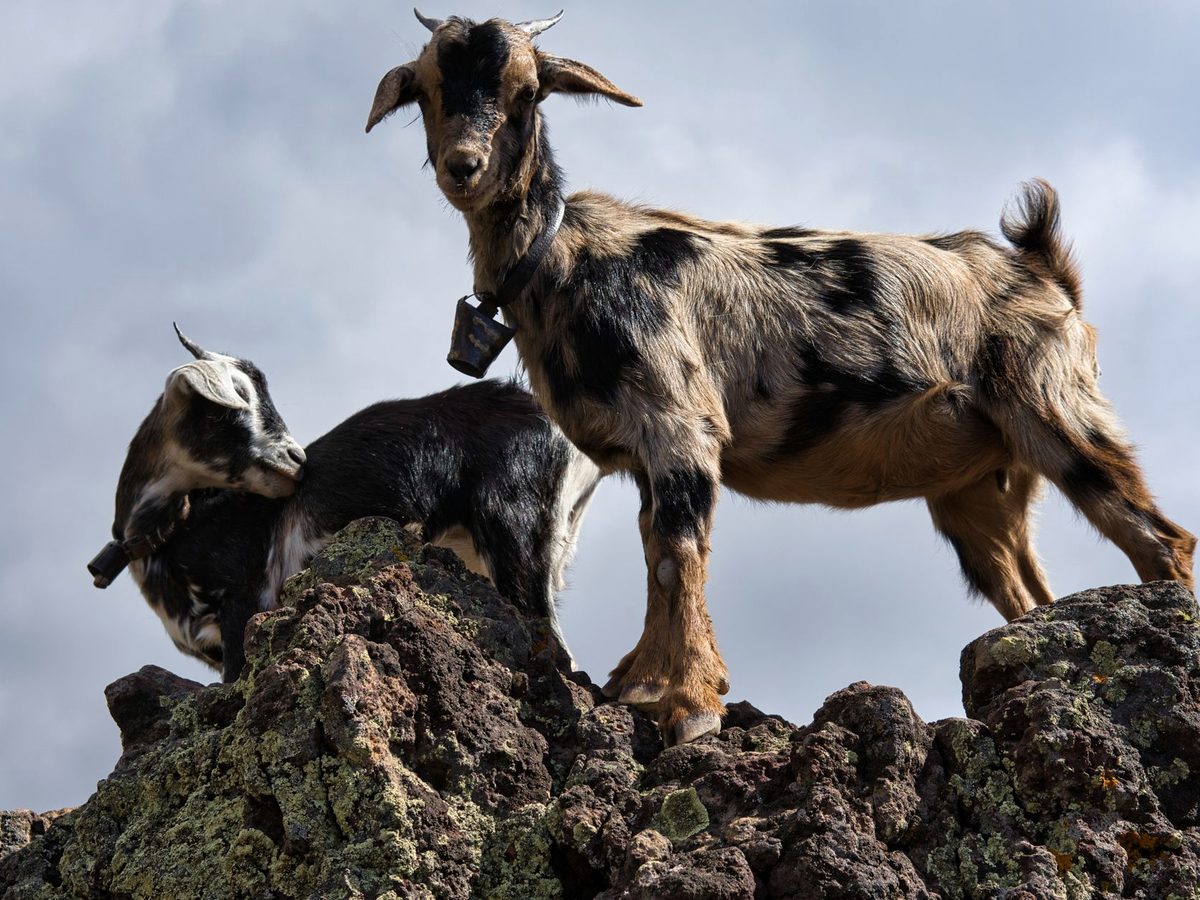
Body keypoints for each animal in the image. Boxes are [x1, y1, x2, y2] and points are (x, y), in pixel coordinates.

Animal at [364, 12, 1197, 745]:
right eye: (426, 90)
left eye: (528, 90)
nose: (465, 167)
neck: (563, 261)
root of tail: (1043, 271)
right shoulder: (647, 454)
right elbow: (654, 548)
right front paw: (643, 684)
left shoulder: (683, 424)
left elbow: (676, 555)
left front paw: (690, 708)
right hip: (980, 489)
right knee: (1028, 593)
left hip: (1058, 409)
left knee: (1161, 540)